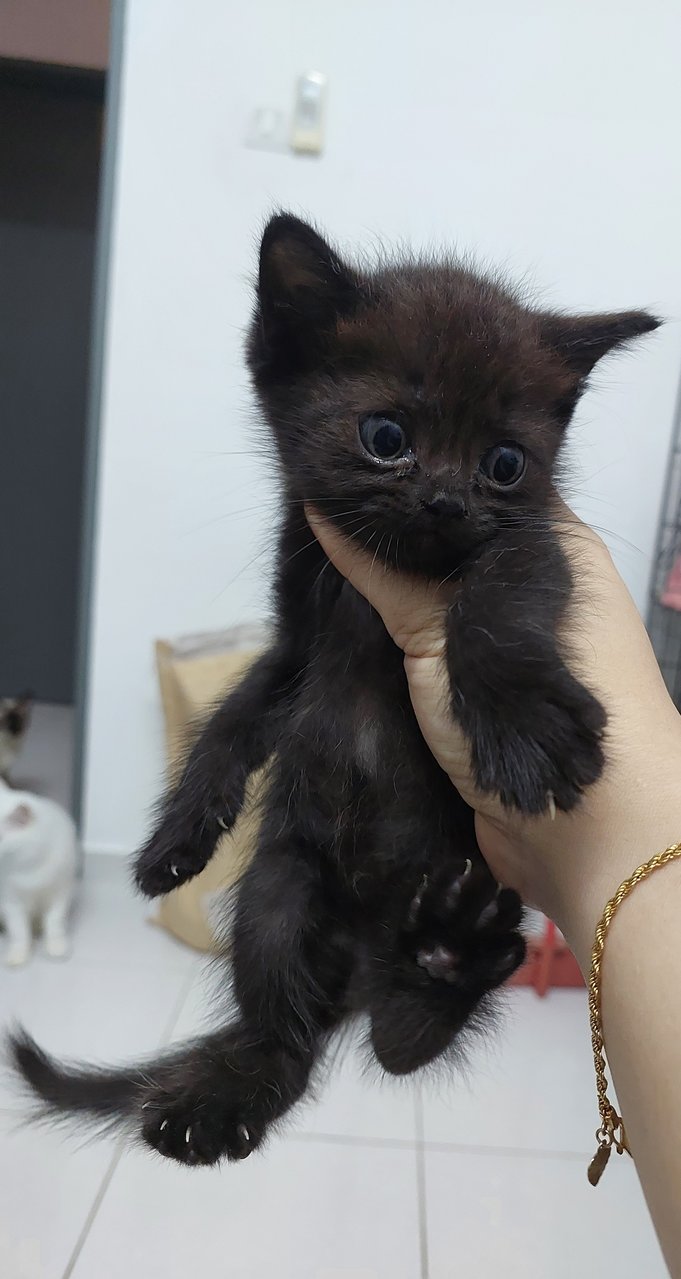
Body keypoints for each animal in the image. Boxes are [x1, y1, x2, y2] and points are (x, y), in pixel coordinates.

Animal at [12, 214, 660, 1166]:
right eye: (386, 437)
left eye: (505, 462)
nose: (446, 501)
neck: (368, 598)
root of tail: (360, 966)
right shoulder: (293, 642)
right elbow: (234, 715)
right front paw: (175, 834)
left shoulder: (534, 545)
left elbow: (494, 602)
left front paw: (525, 729)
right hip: (279, 886)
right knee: (290, 1035)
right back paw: (226, 1096)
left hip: (456, 875)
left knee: (395, 1046)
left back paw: (447, 956)